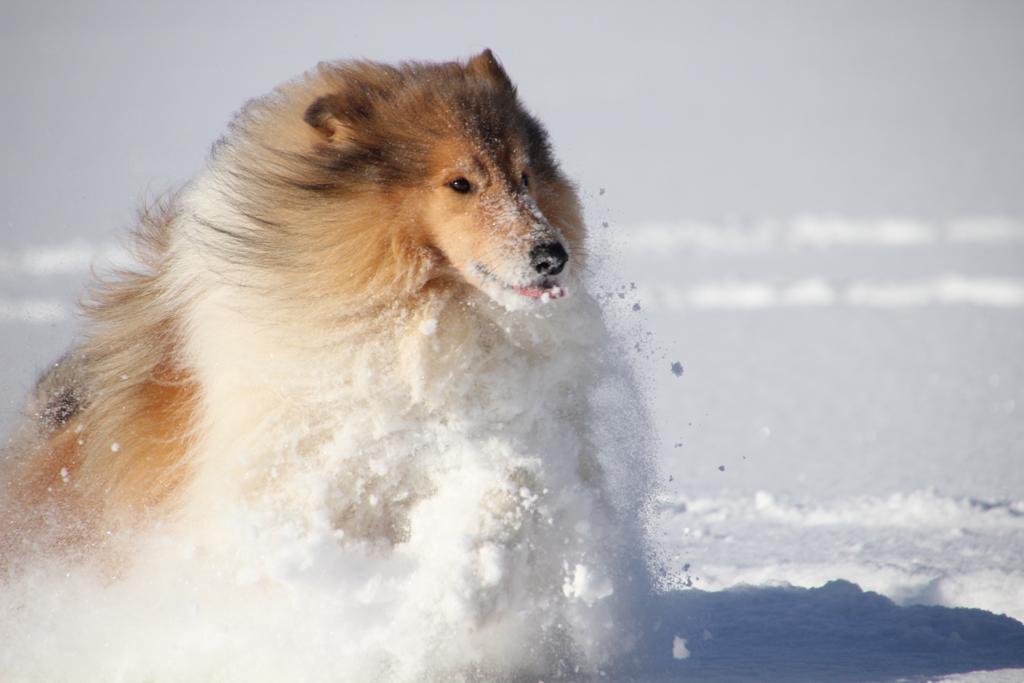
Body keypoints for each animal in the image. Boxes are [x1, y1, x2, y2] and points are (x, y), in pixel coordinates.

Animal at [2, 50, 647, 679]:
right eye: (460, 183)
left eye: (525, 175)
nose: (553, 256)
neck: (425, 316)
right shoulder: (296, 480)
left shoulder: (513, 440)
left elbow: (510, 488)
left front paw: (464, 587)